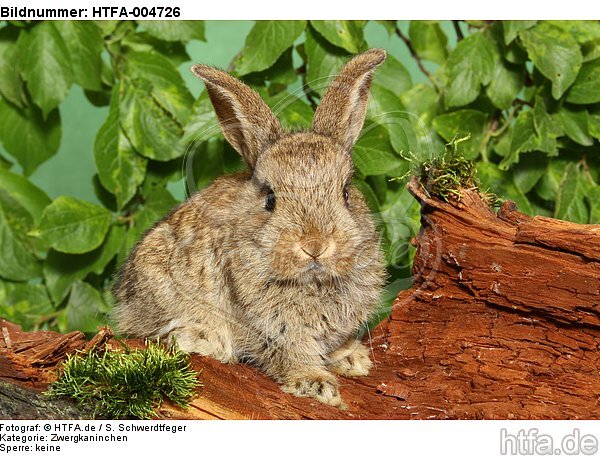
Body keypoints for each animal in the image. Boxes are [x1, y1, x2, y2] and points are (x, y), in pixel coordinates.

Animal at [114, 48, 386, 408]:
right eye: (269, 198)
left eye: (345, 193)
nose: (315, 245)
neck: (312, 280)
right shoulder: (273, 326)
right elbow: (292, 353)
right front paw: (316, 384)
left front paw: (354, 358)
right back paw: (201, 338)